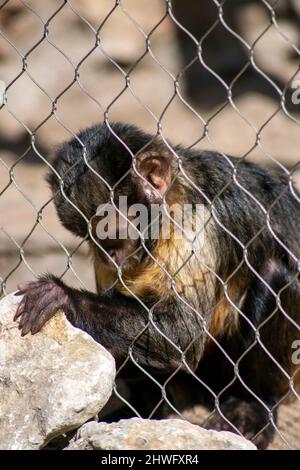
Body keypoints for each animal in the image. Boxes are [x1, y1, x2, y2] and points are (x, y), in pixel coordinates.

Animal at [14, 121, 300, 448]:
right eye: (93, 240)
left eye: (112, 235)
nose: (108, 255)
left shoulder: (194, 218)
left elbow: (182, 332)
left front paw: (64, 297)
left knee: (274, 272)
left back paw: (254, 403)